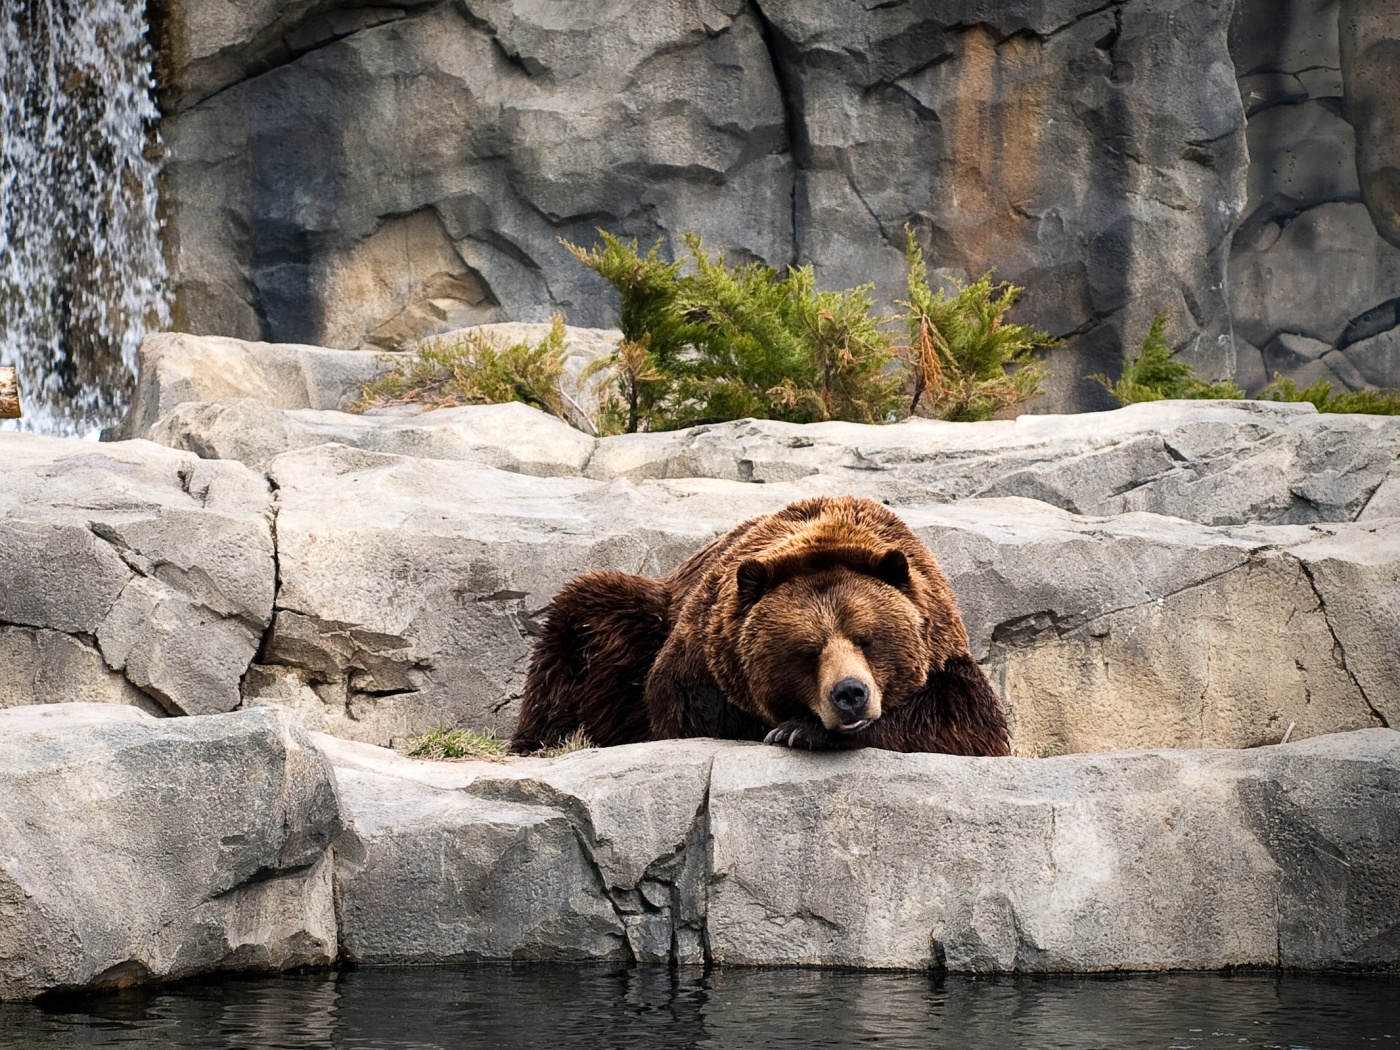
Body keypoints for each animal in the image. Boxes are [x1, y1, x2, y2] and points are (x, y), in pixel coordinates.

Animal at [509, 495, 1013, 756]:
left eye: (867, 639)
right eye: (807, 650)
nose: (850, 693)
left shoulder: (943, 645)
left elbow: (966, 721)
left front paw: (801, 730)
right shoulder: (702, 646)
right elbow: (686, 705)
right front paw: (791, 727)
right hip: (638, 618)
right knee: (584, 621)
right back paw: (539, 740)